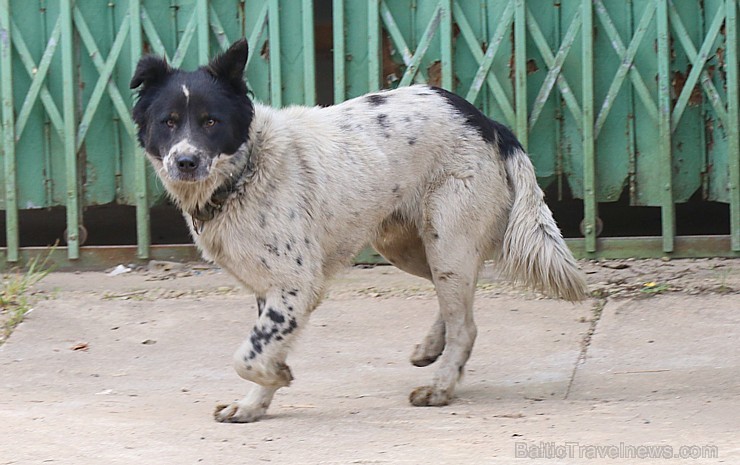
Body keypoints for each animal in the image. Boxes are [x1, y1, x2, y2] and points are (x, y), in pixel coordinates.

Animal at [130, 40, 588, 422]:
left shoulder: (297, 285)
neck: (247, 168)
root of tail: (485, 120)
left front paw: (276, 377)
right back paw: (431, 350)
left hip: (447, 243)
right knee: (458, 305)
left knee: (466, 325)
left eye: (211, 122)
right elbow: (262, 348)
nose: (185, 162)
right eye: (168, 122)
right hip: (410, 246)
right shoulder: (270, 288)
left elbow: (247, 356)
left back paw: (439, 388)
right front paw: (253, 405)